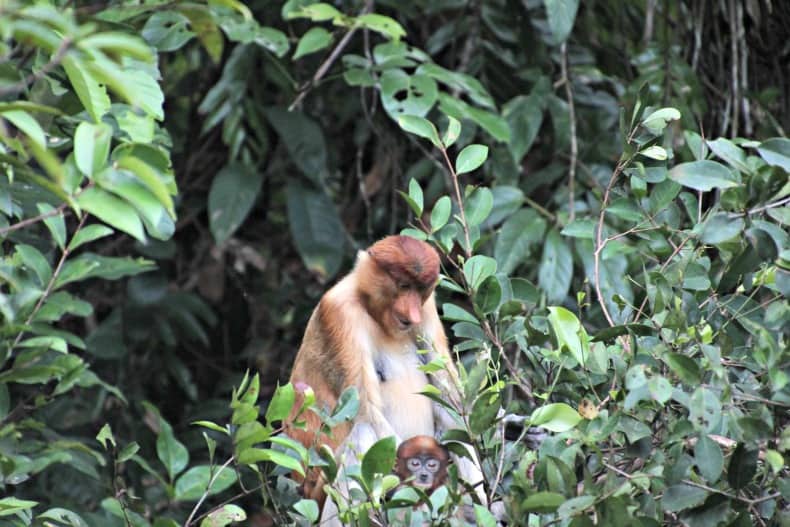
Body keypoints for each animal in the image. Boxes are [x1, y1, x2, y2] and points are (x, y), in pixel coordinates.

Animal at [288, 235, 486, 512]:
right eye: (403, 286)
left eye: (420, 290)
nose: (411, 315)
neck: (370, 307)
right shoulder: (339, 314)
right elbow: (367, 413)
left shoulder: (427, 309)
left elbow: (451, 402)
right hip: (317, 491)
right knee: (362, 434)